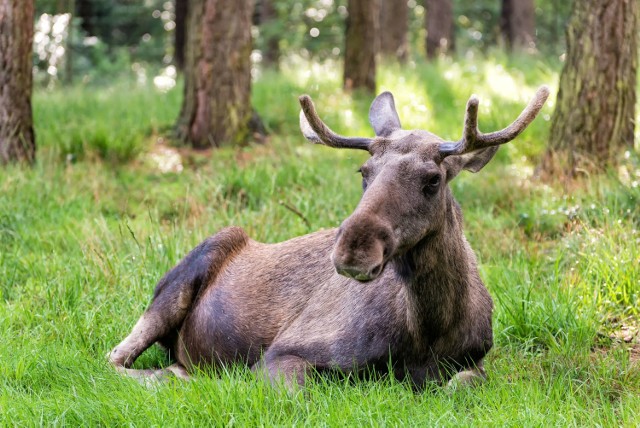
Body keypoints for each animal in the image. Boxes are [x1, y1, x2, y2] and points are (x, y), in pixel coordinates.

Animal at [110, 85, 552, 390]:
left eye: (432, 179)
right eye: (363, 171)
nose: (354, 248)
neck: (429, 333)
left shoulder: (474, 361)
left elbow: (460, 386)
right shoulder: (285, 351)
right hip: (177, 284)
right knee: (116, 359)